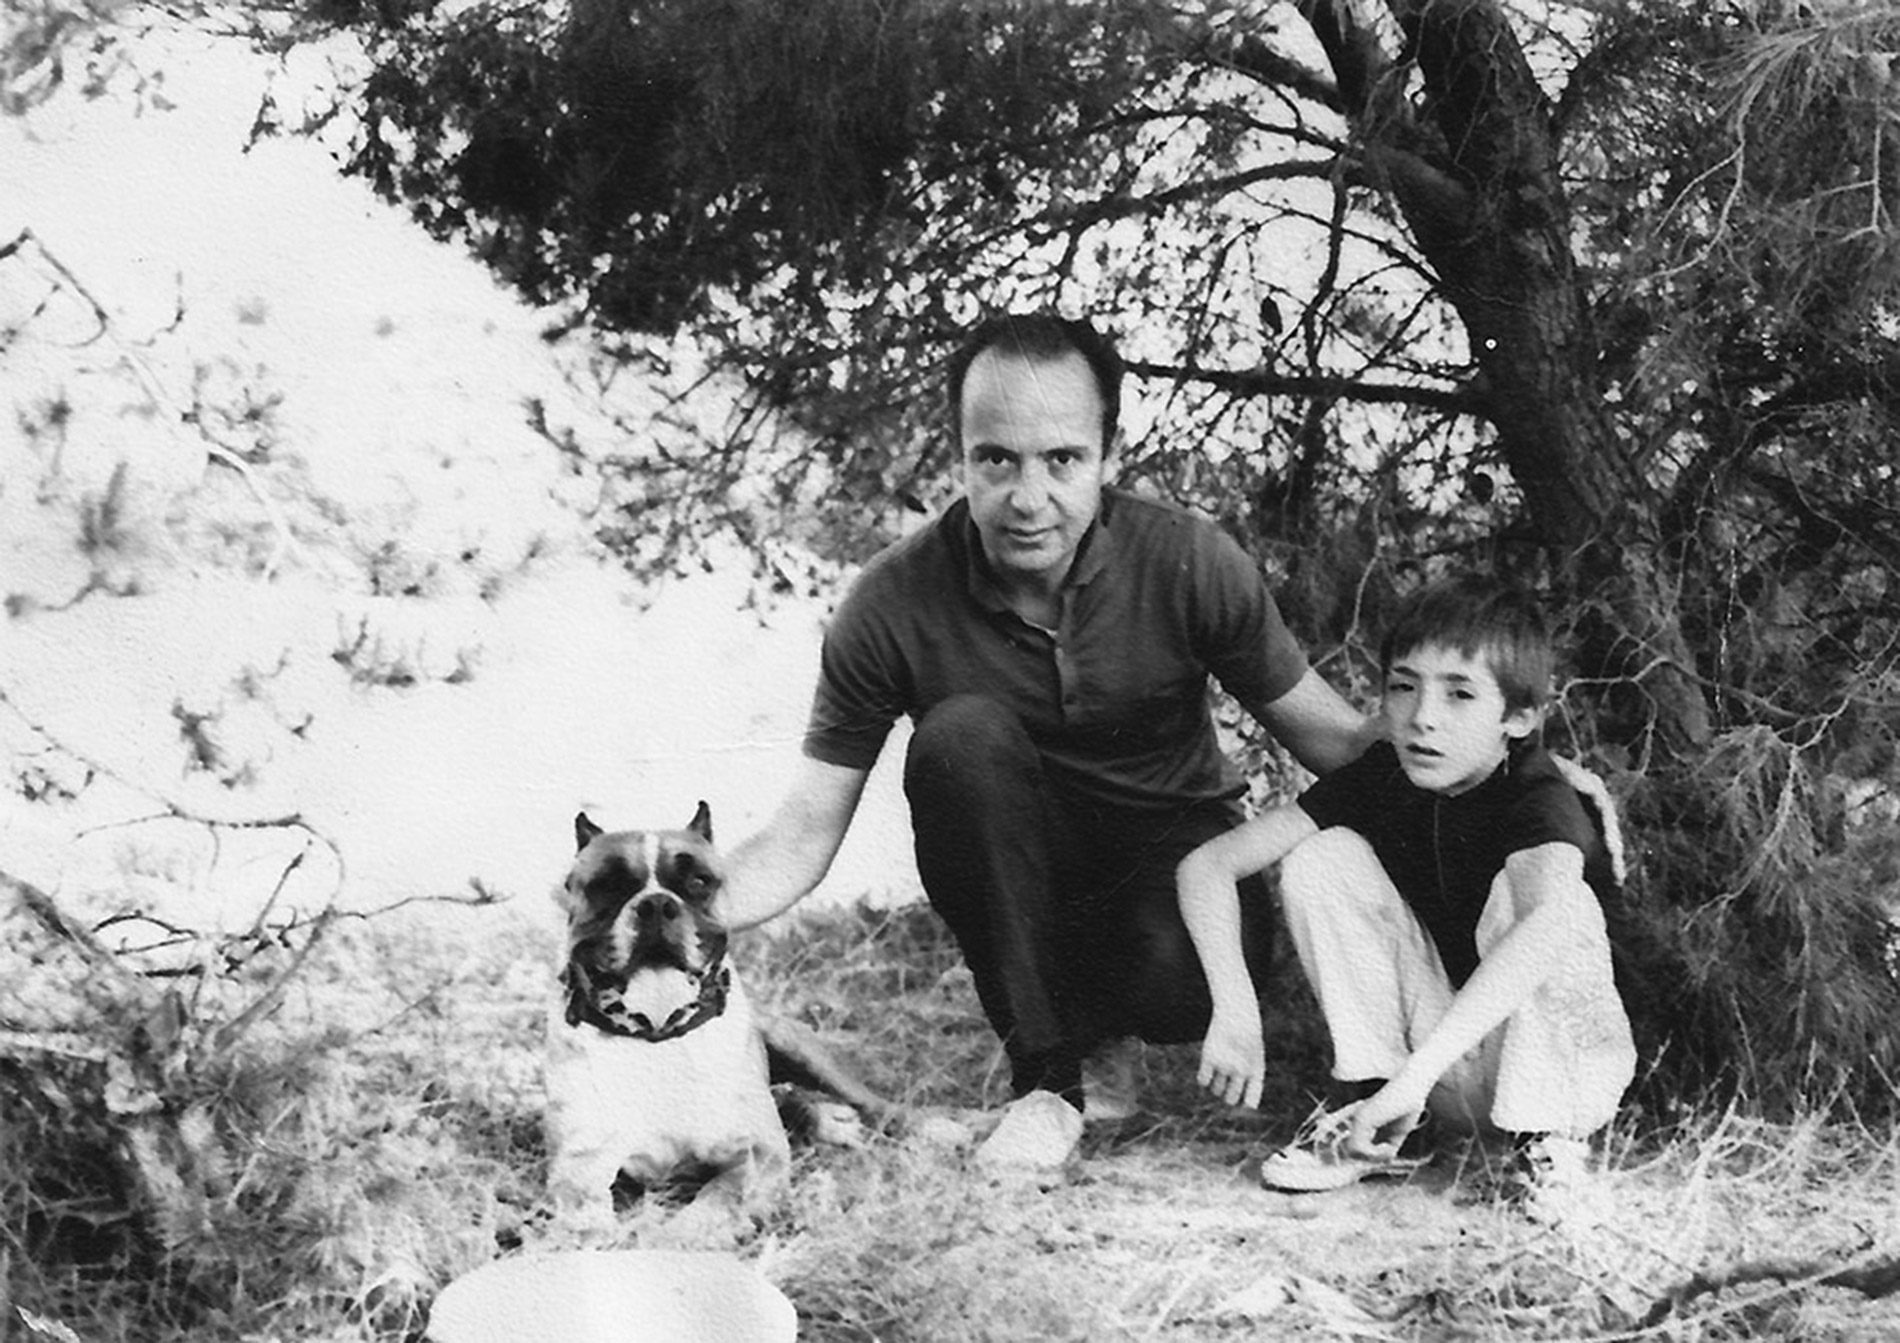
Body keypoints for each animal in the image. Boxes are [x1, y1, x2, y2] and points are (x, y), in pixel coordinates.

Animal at [544, 803, 895, 1231]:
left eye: (699, 881)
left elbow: (714, 1202)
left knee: (874, 1106)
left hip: (801, 1051)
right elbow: (590, 1216)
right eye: (608, 885)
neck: (658, 1038)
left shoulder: (755, 1152)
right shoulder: (580, 1163)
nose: (656, 904)